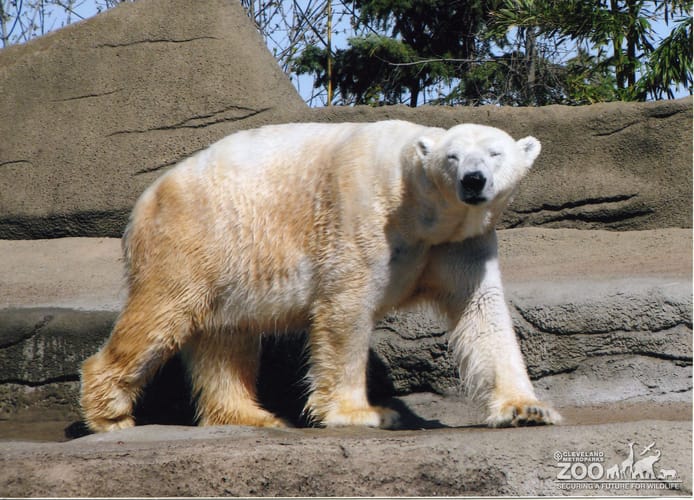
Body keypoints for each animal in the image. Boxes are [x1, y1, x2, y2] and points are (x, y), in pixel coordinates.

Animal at [80, 120, 560, 432]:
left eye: (496, 154)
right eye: (453, 157)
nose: (473, 180)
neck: (421, 210)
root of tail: (145, 199)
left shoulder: (459, 244)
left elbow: (482, 314)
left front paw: (527, 409)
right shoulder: (362, 214)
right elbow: (346, 308)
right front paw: (365, 413)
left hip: (230, 258)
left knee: (226, 337)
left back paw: (252, 414)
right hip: (192, 238)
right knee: (163, 313)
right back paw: (110, 414)